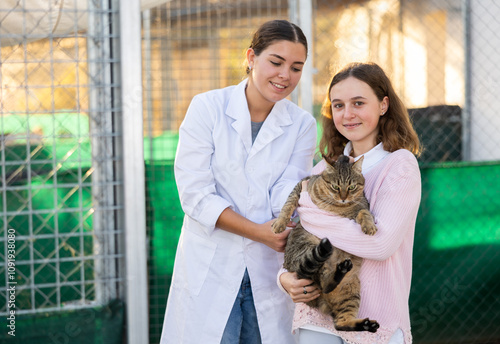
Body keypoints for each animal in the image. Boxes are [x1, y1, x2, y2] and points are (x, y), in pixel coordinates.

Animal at [274, 155, 378, 332]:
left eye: (351, 187)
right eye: (335, 186)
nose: (343, 198)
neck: (337, 207)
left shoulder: (361, 207)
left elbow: (365, 212)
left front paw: (369, 225)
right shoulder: (301, 185)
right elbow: (288, 205)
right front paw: (280, 223)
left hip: (351, 292)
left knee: (340, 322)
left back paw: (365, 324)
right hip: (309, 250)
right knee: (323, 282)